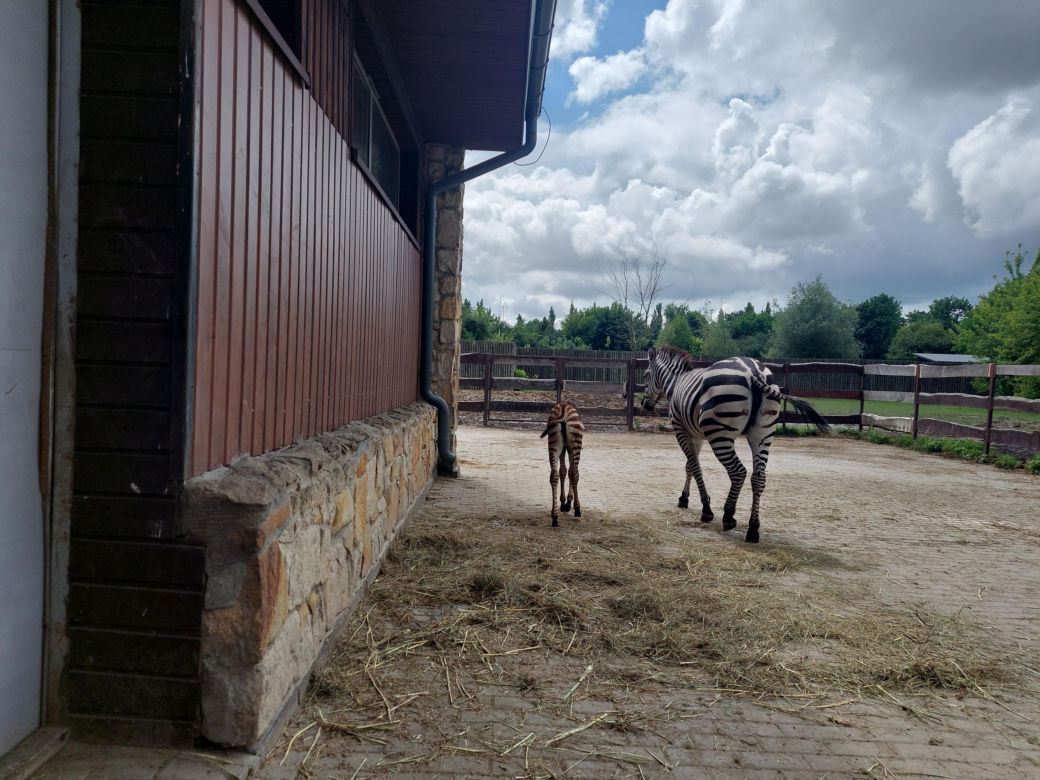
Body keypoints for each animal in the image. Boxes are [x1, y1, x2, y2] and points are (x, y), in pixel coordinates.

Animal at [641, 346, 829, 543]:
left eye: (646, 375)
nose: (644, 405)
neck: (676, 382)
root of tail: (754, 371)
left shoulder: (681, 431)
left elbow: (696, 467)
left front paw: (705, 508)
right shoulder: (696, 436)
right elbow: (690, 466)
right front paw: (684, 498)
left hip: (720, 434)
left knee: (738, 472)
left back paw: (728, 516)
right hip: (762, 435)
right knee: (758, 477)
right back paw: (753, 528)